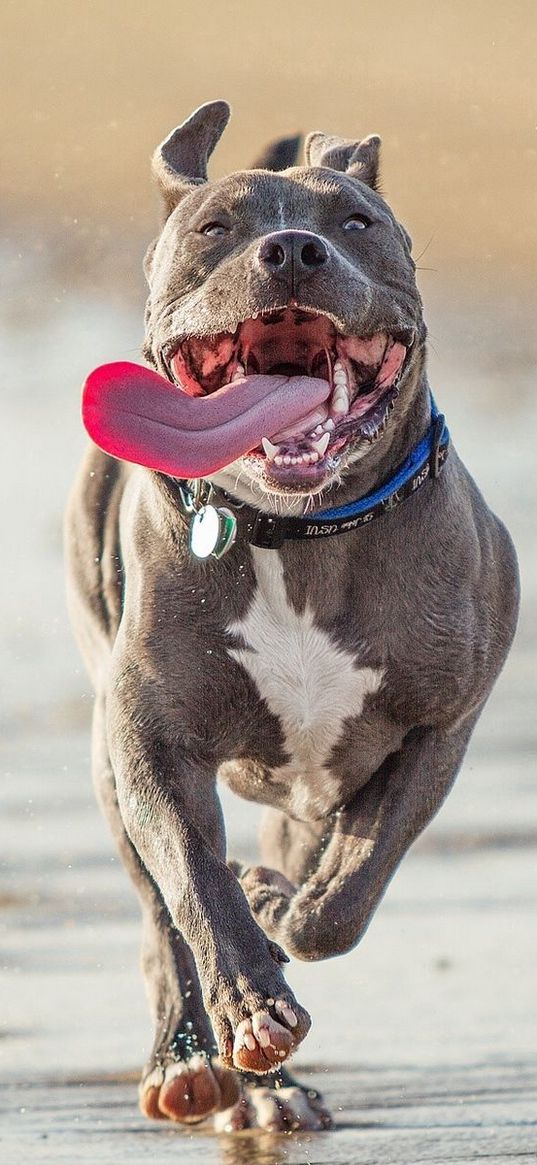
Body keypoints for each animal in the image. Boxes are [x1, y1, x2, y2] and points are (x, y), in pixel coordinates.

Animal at [64, 97, 517, 1127]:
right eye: (213, 229)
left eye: (354, 221)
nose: (291, 250)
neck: (300, 534)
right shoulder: (150, 741)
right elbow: (194, 884)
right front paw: (250, 996)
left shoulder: (438, 726)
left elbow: (350, 884)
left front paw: (281, 911)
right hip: (109, 754)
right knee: (160, 916)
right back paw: (197, 1060)